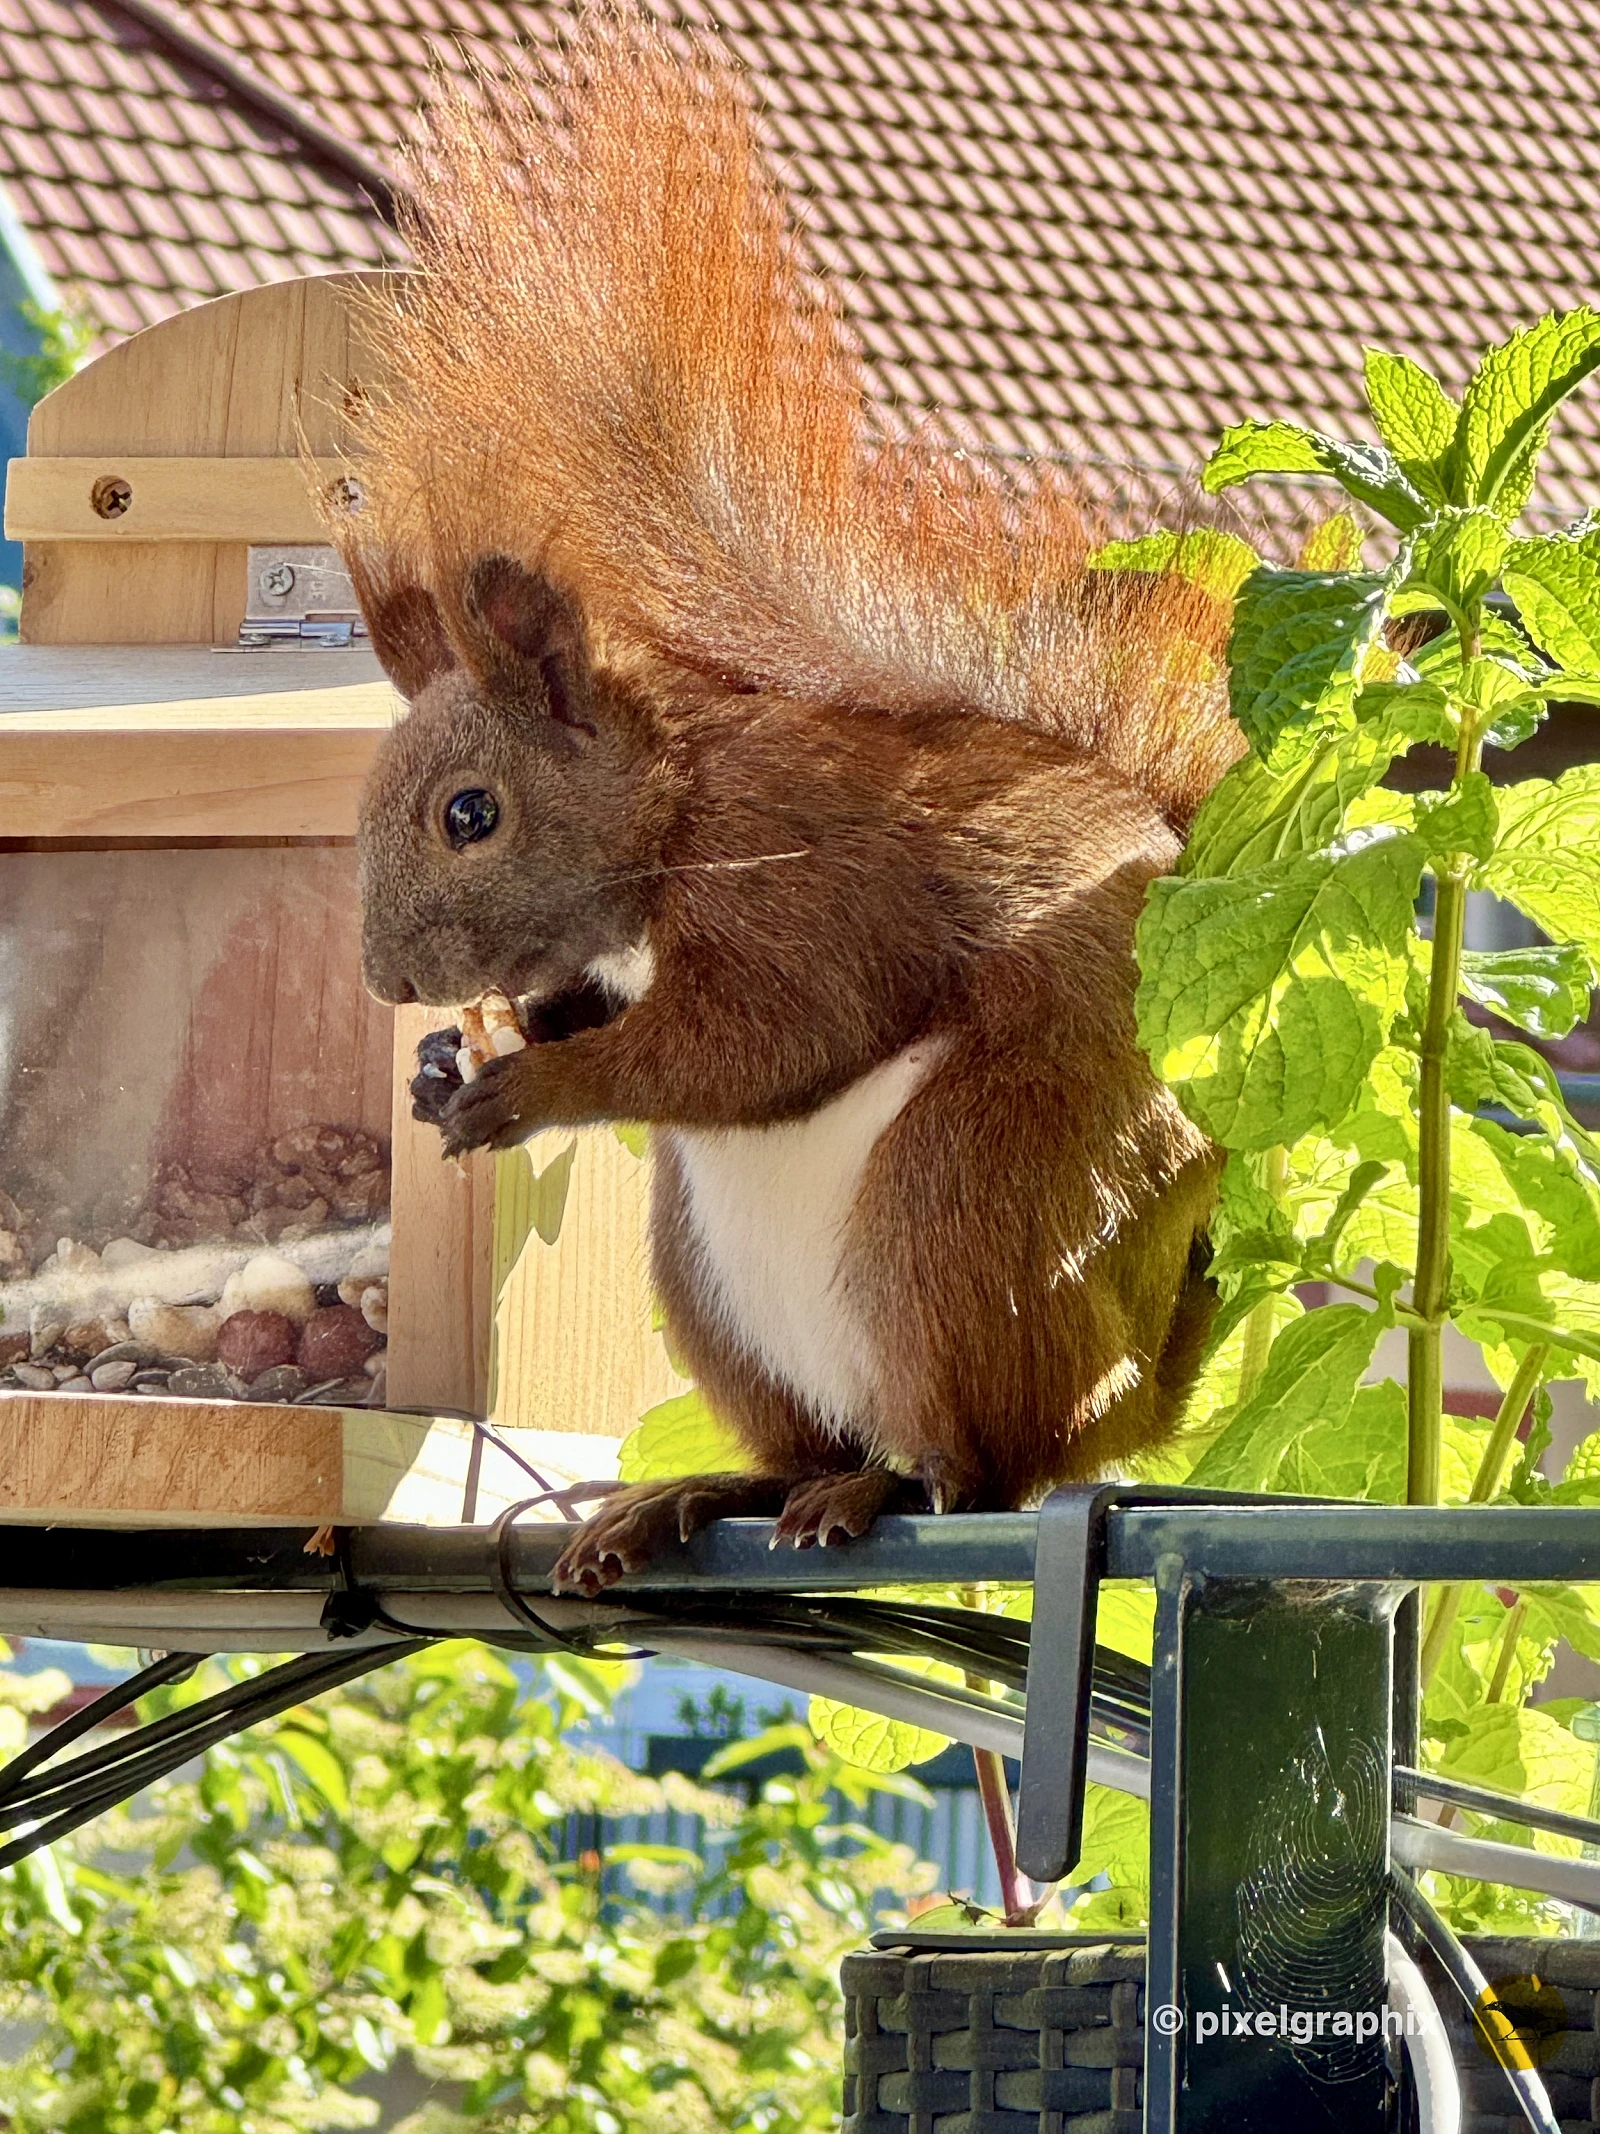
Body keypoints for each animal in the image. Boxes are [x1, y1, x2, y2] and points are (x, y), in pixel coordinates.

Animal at [335, 23, 1244, 1594]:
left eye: (469, 814)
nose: (391, 982)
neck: (675, 805)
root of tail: (1132, 1394)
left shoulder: (809, 878)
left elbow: (771, 1036)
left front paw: (532, 1088)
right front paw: (455, 1063)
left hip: (969, 1203)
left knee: (981, 1462)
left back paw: (885, 1486)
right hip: (707, 1284)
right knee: (800, 1438)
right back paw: (696, 1496)